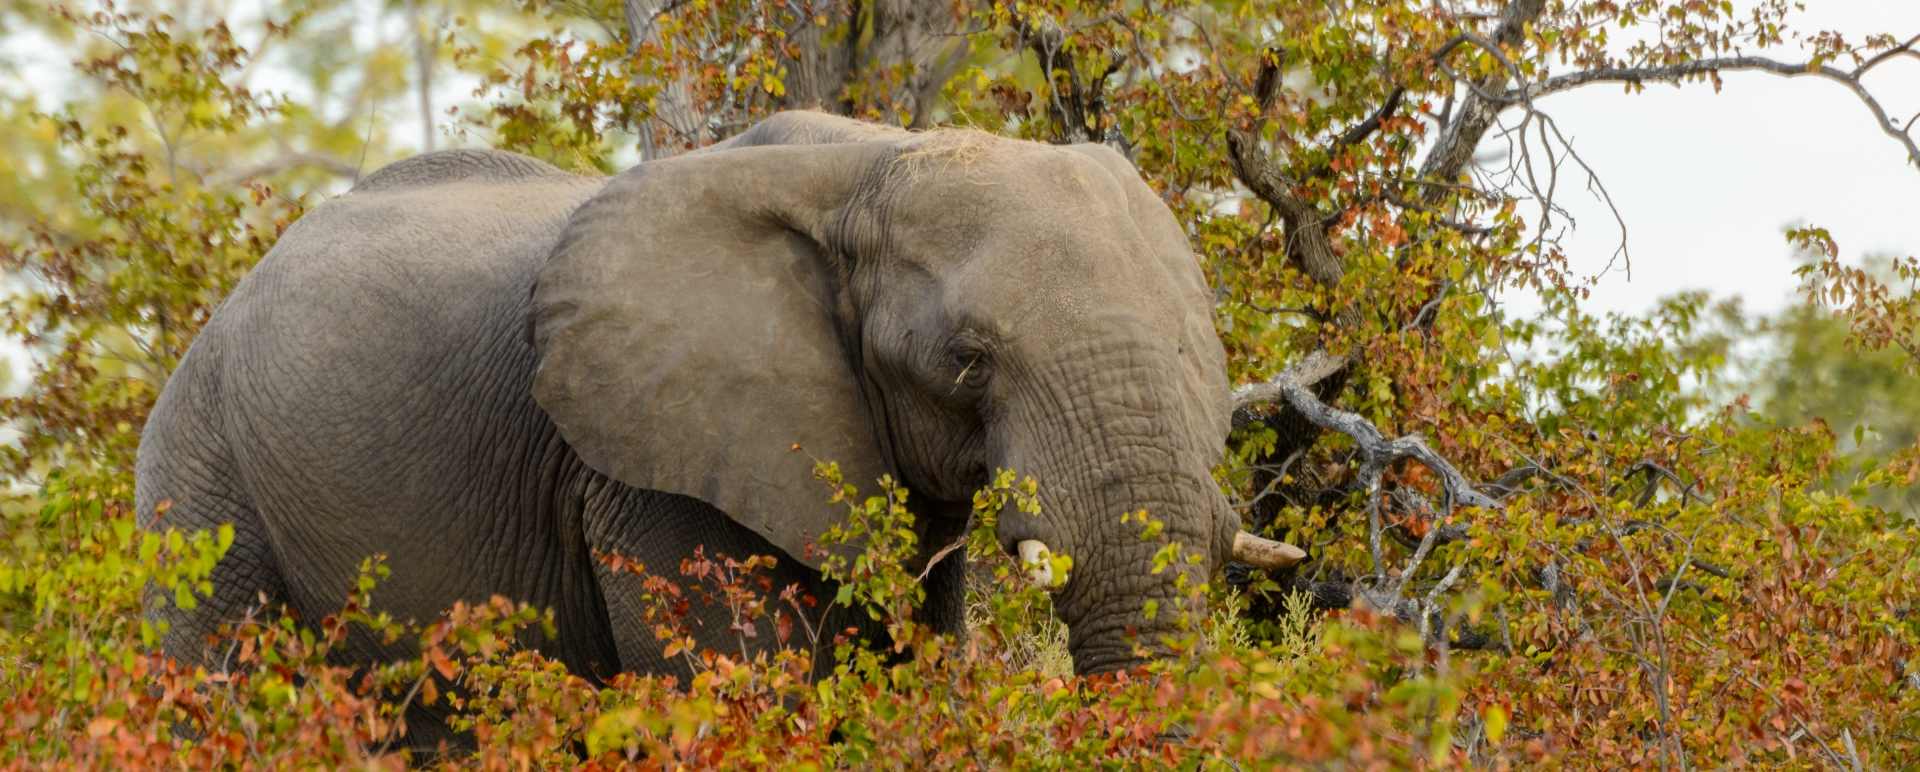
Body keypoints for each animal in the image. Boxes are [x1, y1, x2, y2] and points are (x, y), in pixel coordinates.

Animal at [135, 110, 1304, 723]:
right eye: (969, 360)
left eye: (1199, 347)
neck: (874, 158)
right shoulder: (649, 468)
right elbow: (743, 683)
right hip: (201, 475)